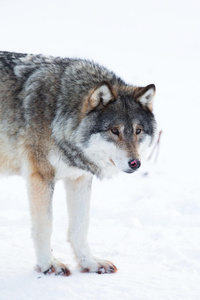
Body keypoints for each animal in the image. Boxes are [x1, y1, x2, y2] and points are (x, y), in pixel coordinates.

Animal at [0, 51, 156, 274]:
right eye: (114, 130)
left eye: (138, 131)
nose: (135, 163)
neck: (58, 112)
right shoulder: (41, 178)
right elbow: (45, 226)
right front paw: (48, 265)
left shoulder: (80, 178)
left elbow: (80, 226)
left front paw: (89, 263)